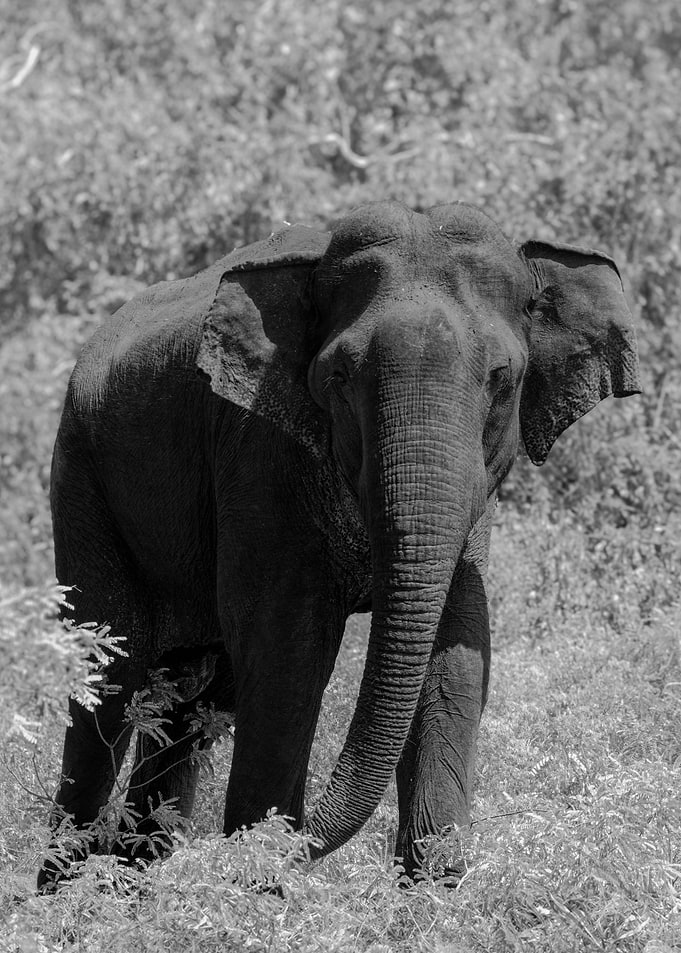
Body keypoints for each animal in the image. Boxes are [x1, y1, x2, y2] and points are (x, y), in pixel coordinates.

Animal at [40, 199, 640, 888]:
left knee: (187, 703)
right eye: (339, 376)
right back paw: (64, 894)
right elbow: (287, 650)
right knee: (110, 685)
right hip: (80, 478)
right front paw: (262, 879)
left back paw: (135, 881)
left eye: (502, 377)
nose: (280, 846)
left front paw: (435, 891)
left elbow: (457, 642)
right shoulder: (258, 450)